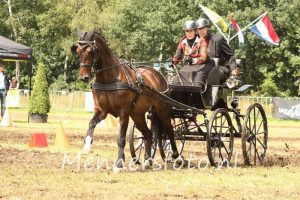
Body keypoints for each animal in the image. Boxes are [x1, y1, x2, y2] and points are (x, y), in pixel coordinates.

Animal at [72, 30, 178, 168]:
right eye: (78, 51)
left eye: (91, 51)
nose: (84, 77)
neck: (110, 78)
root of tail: (159, 75)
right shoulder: (102, 111)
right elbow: (91, 123)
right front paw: (87, 145)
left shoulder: (124, 113)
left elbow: (121, 138)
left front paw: (119, 162)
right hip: (138, 114)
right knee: (148, 134)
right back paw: (147, 160)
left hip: (162, 110)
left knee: (170, 131)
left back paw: (176, 156)